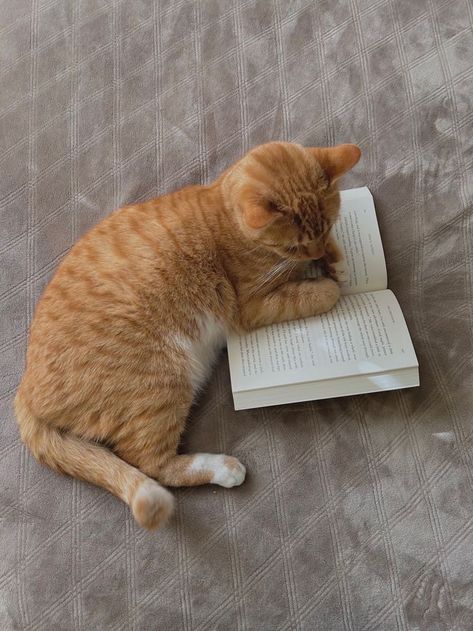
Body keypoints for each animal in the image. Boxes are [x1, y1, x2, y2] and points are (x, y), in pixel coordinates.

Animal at [15, 142, 362, 528]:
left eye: (326, 227)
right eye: (293, 247)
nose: (314, 253)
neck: (220, 212)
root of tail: (25, 391)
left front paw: (338, 262)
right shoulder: (251, 306)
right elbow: (322, 293)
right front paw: (330, 280)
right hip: (162, 379)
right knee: (149, 462)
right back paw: (224, 468)